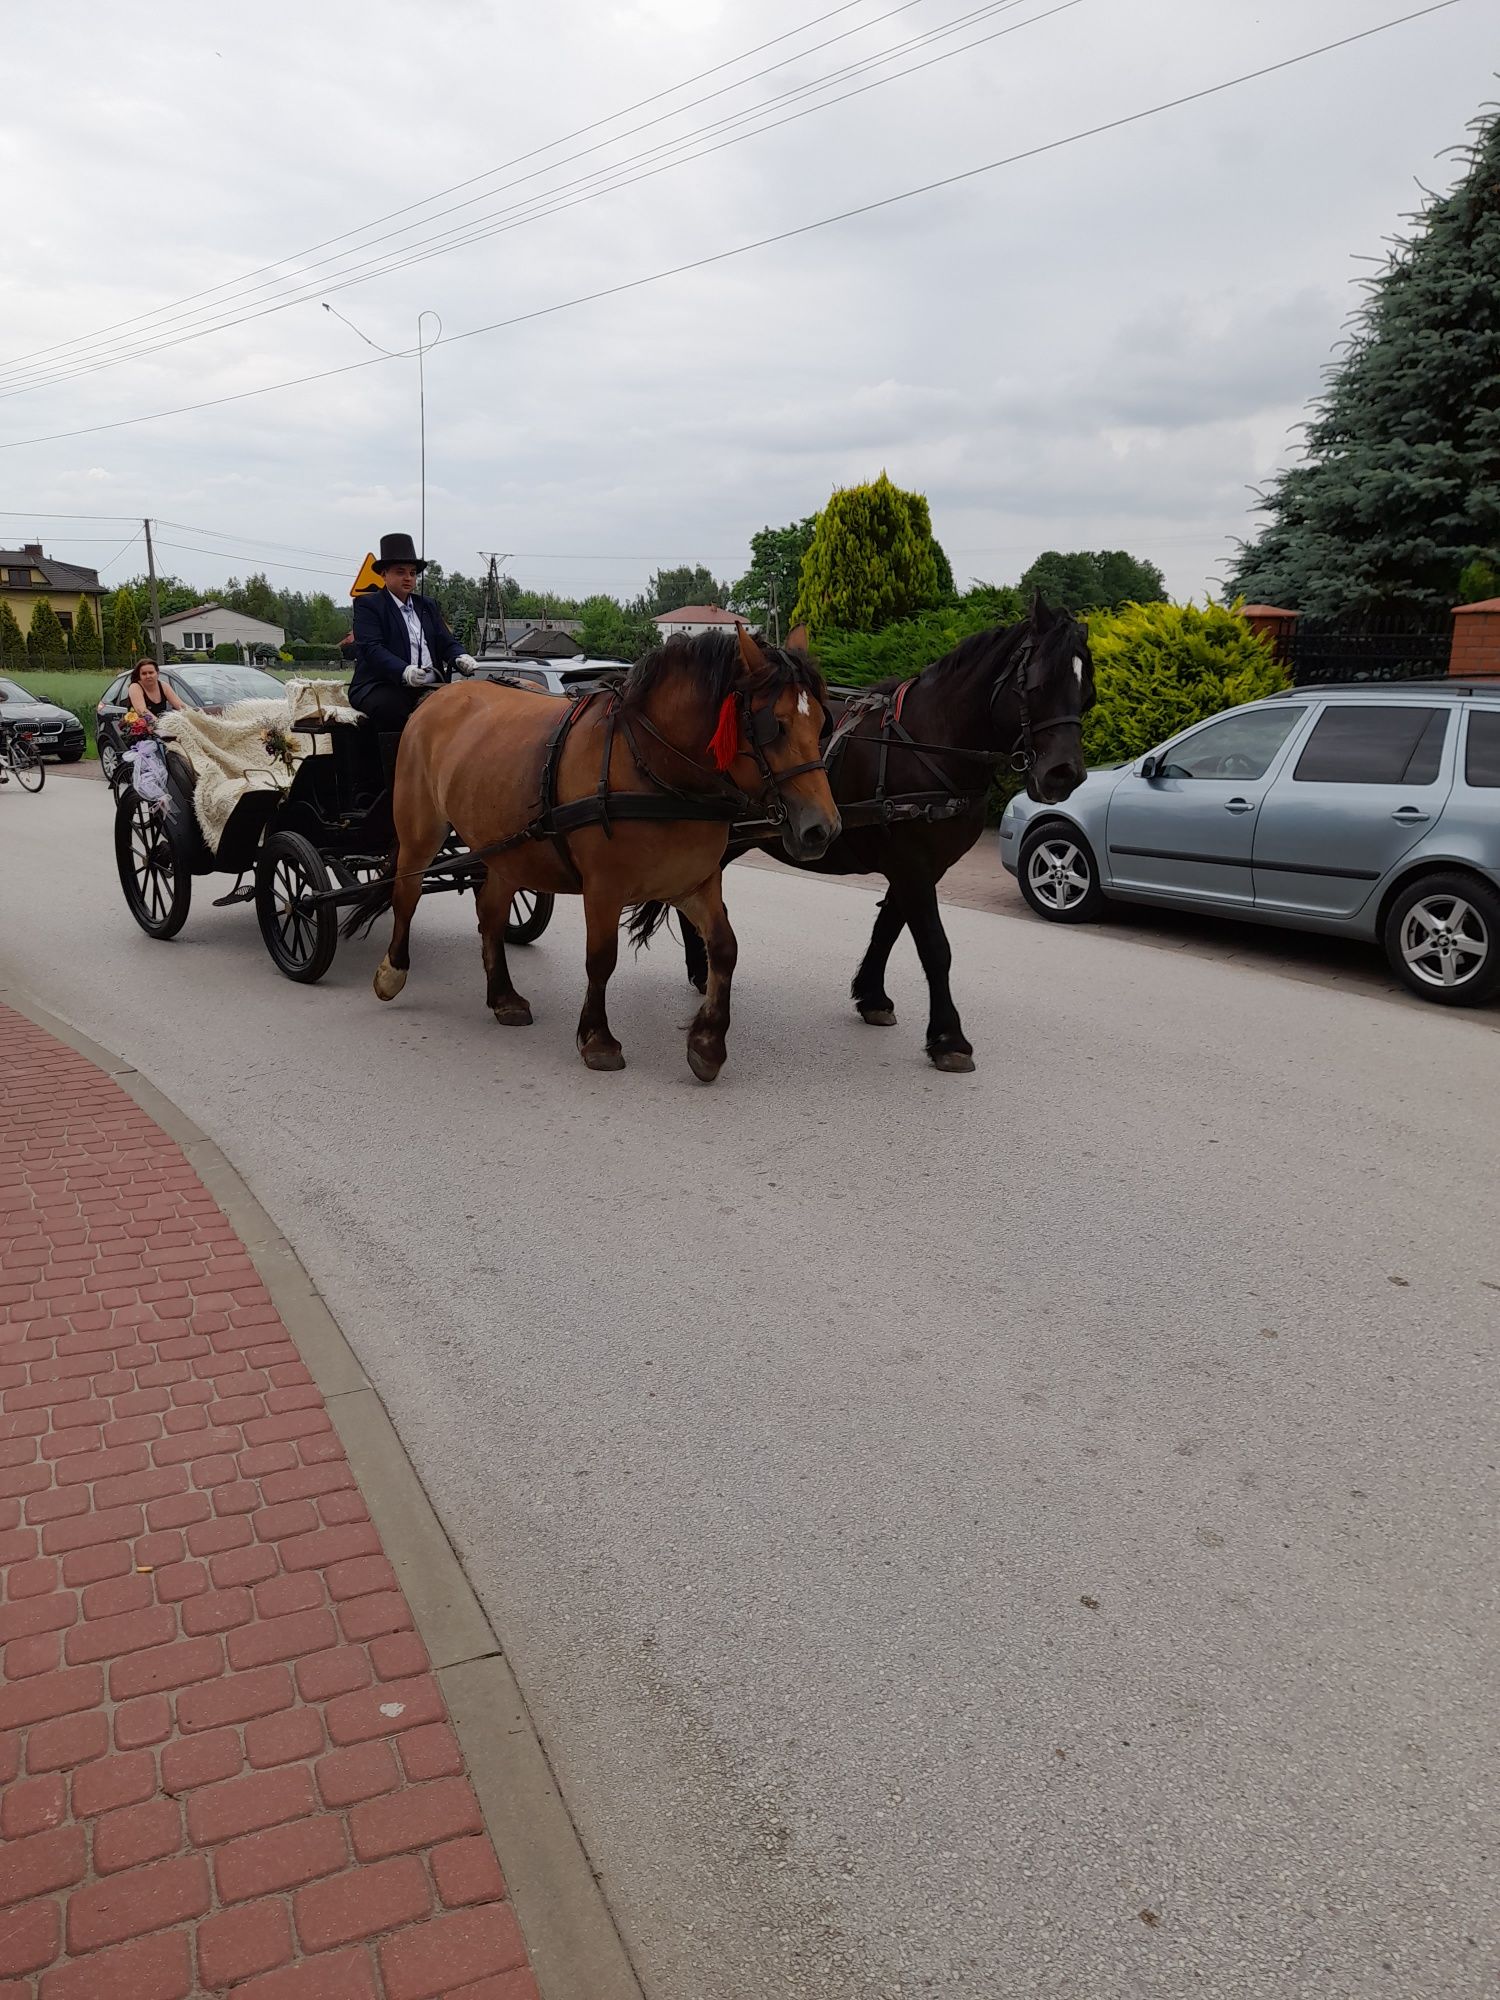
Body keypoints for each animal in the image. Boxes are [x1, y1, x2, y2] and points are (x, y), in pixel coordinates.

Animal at [354, 632, 848, 1088]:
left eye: (821, 723)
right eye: (774, 726)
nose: (822, 829)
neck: (656, 768)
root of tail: (439, 696)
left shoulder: (695, 883)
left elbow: (725, 948)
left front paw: (707, 1044)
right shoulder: (604, 889)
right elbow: (601, 959)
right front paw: (597, 1039)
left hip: (506, 851)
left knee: (490, 914)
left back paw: (503, 997)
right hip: (420, 833)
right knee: (407, 893)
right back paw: (393, 971)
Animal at [632, 592, 1096, 1072]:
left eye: (1086, 694)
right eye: (1037, 684)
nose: (1064, 775)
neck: (925, 744)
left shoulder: (918, 867)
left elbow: (889, 926)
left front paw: (872, 996)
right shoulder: (912, 864)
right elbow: (934, 947)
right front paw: (949, 1037)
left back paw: (701, 970)